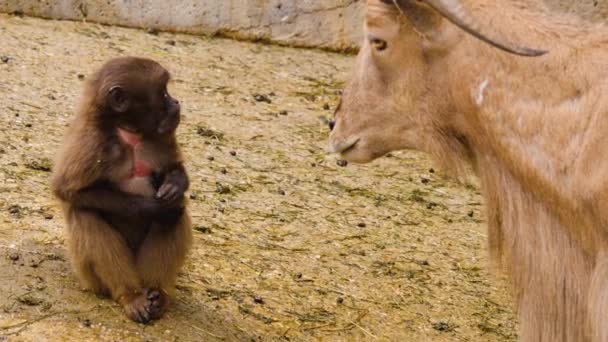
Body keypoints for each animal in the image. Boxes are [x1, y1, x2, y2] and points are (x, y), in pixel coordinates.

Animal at [53, 56, 194, 324]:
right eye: (162, 93)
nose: (175, 102)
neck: (128, 133)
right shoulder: (91, 144)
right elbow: (67, 191)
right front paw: (154, 208)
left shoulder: (161, 136)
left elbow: (174, 169)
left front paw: (174, 184)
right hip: (90, 277)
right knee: (85, 213)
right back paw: (130, 295)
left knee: (178, 213)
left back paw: (156, 292)